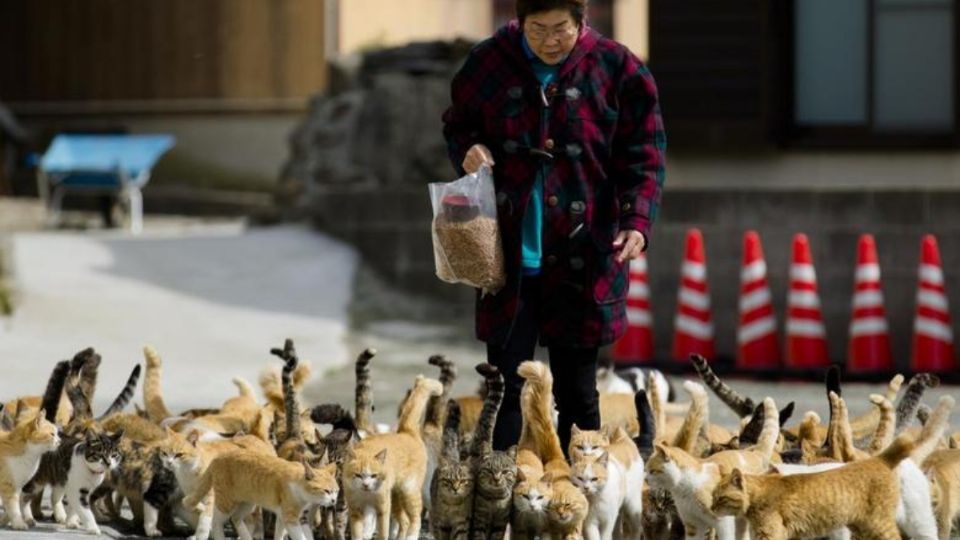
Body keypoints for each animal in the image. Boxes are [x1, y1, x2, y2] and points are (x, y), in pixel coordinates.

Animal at [186, 450, 340, 540]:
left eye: (336, 491)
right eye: (326, 491)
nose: (333, 501)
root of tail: (218, 457)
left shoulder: (290, 517)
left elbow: (280, 534)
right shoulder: (290, 517)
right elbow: (300, 537)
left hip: (247, 502)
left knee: (236, 518)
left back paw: (246, 537)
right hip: (226, 501)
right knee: (216, 520)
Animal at [342, 376, 442, 540]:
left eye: (374, 475)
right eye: (358, 475)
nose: (366, 485)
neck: (366, 494)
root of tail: (406, 432)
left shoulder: (382, 509)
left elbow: (383, 532)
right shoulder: (355, 511)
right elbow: (357, 533)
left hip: (409, 490)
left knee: (416, 518)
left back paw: (412, 536)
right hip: (396, 496)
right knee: (405, 521)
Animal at [432, 400, 472, 540]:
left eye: (462, 481)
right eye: (448, 481)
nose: (455, 489)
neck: (452, 505)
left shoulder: (461, 524)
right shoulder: (442, 523)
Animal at [466, 362, 512, 540]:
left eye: (505, 471)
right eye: (489, 470)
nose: (497, 479)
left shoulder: (500, 522)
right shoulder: (478, 520)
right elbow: (478, 535)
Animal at [712, 434, 916, 540]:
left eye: (721, 498)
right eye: (713, 496)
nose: (712, 508)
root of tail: (878, 459)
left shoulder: (770, 534)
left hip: (879, 524)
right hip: (863, 529)